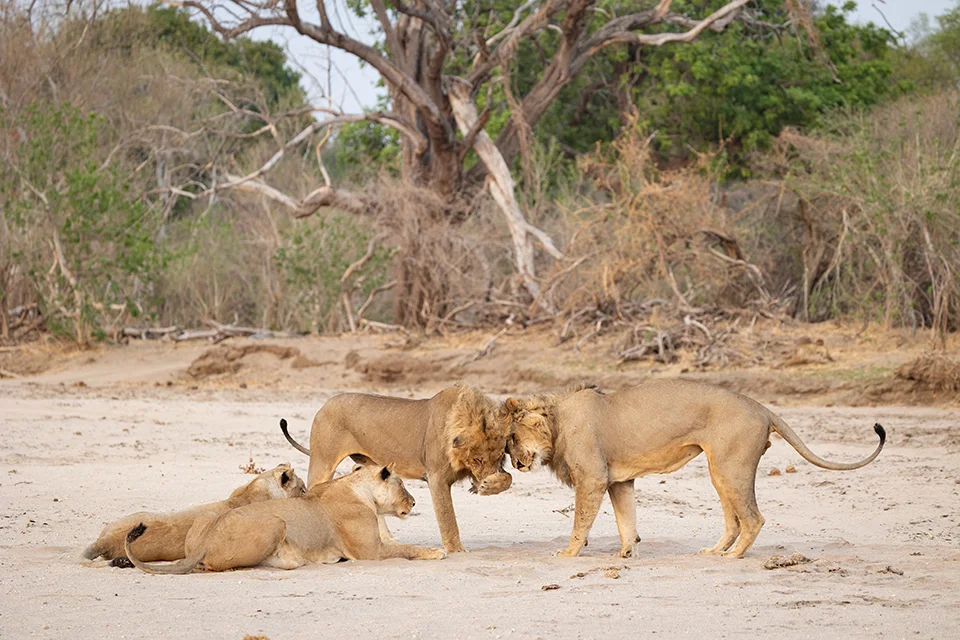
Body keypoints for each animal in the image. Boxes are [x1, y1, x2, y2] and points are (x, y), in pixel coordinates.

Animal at [124, 464, 446, 574]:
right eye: (403, 484)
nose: (414, 502)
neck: (359, 488)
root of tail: (204, 542)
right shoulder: (371, 551)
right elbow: (407, 549)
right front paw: (437, 552)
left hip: (207, 515)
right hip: (276, 522)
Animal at [280, 384, 512, 553]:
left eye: (499, 457)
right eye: (477, 460)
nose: (483, 481)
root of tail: (324, 404)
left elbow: (507, 479)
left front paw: (489, 485)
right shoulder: (436, 477)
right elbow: (448, 517)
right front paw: (456, 550)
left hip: (368, 463)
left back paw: (387, 538)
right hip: (322, 461)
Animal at [500, 380, 885, 559]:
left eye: (512, 438)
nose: (517, 464)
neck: (558, 421)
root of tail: (762, 408)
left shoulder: (593, 479)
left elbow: (580, 522)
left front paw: (568, 554)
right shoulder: (618, 481)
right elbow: (627, 520)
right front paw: (627, 553)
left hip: (730, 467)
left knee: (754, 518)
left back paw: (732, 557)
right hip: (720, 470)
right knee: (735, 520)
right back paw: (715, 552)